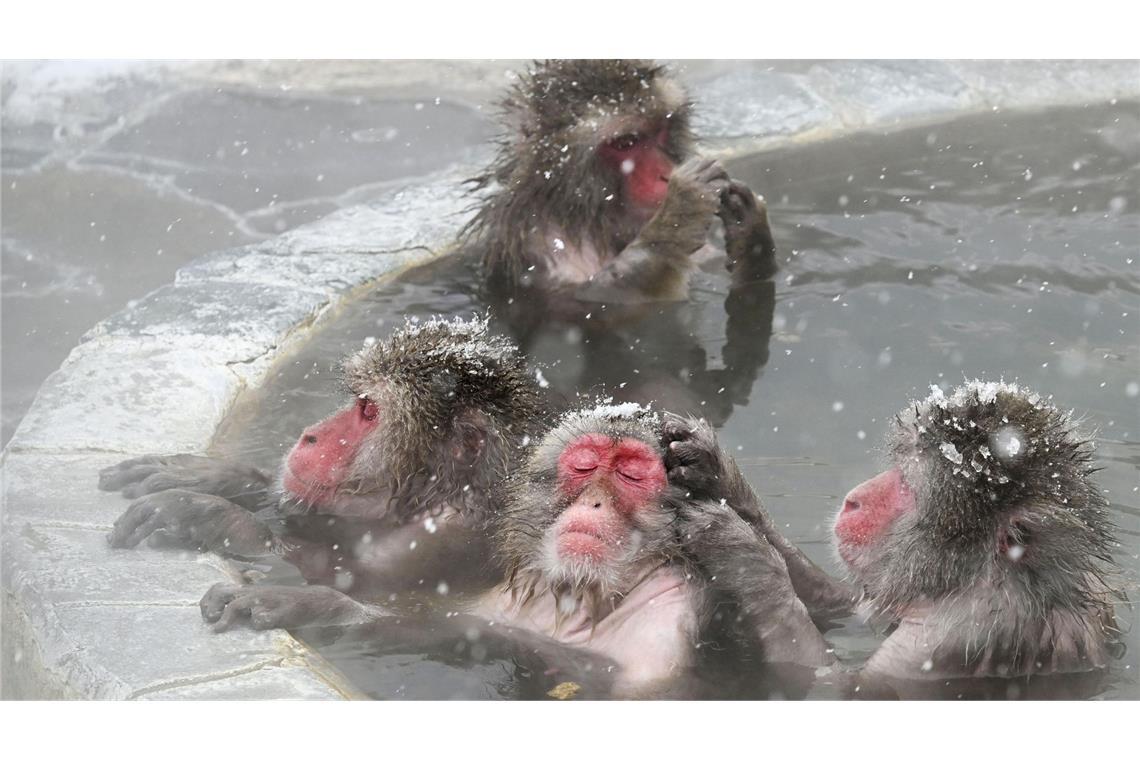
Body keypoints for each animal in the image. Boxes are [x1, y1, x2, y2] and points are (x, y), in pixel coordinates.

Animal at [100, 316, 546, 597]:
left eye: (369, 411)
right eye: (359, 402)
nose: (309, 435)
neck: (435, 498)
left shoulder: (440, 544)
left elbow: (351, 580)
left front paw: (208, 515)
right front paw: (215, 477)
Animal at [199, 403, 834, 699]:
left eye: (632, 474)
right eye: (585, 466)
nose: (597, 502)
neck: (589, 597)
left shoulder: (676, 612)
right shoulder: (505, 604)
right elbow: (449, 628)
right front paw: (312, 604)